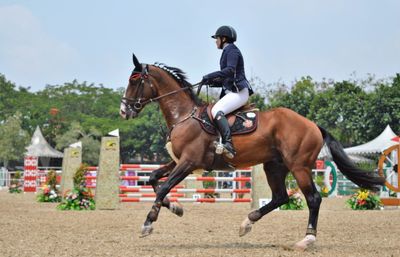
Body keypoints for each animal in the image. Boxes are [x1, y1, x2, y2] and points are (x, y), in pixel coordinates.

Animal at [120, 53, 386, 248]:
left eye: (134, 81)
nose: (124, 111)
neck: (184, 115)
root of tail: (312, 125)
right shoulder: (180, 162)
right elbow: (154, 180)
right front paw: (177, 208)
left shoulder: (188, 162)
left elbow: (164, 186)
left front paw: (148, 224)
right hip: (274, 166)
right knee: (280, 197)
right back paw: (247, 222)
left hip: (299, 167)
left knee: (313, 198)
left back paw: (307, 238)